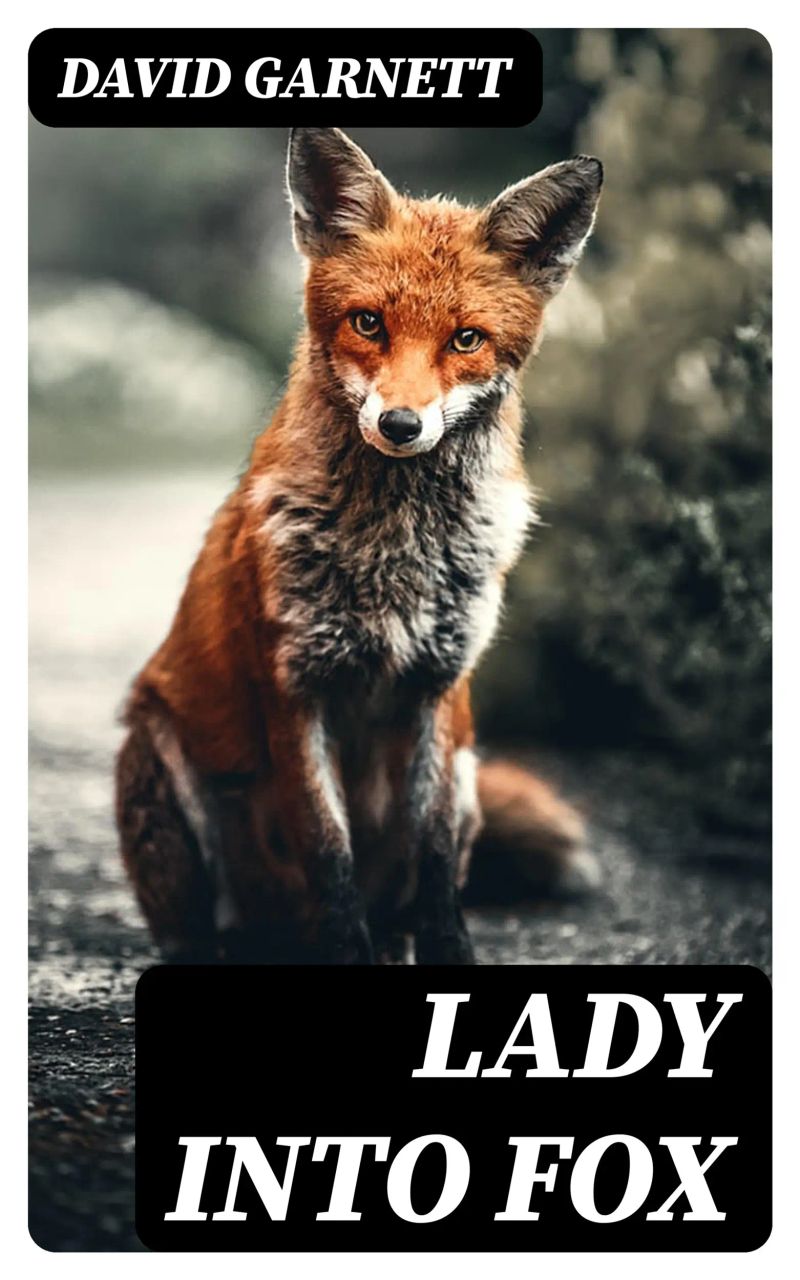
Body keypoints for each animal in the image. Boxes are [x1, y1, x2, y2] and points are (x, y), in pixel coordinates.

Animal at [115, 127, 603, 965]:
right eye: (369, 323)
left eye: (466, 339)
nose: (401, 425)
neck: (394, 556)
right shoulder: (295, 685)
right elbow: (326, 850)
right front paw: (346, 949)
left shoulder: (439, 687)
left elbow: (432, 858)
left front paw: (448, 952)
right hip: (159, 758)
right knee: (210, 929)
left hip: (468, 769)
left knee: (403, 899)